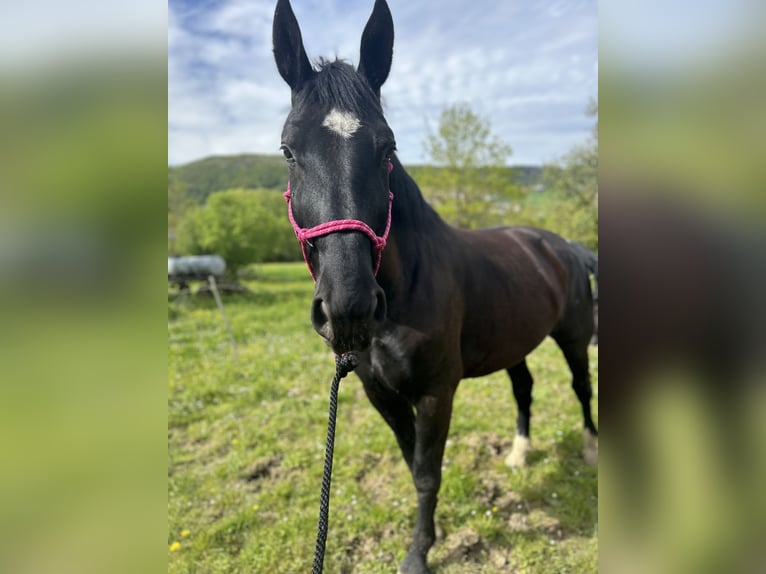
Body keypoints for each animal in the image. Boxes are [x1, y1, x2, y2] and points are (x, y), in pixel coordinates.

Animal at [272, 2, 596, 572]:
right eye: (288, 150)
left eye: (388, 147)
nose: (349, 308)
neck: (405, 294)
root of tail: (565, 246)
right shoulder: (381, 394)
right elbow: (412, 466)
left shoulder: (435, 394)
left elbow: (427, 474)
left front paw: (419, 553)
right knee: (525, 387)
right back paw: (519, 454)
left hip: (575, 337)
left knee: (581, 386)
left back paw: (591, 450)